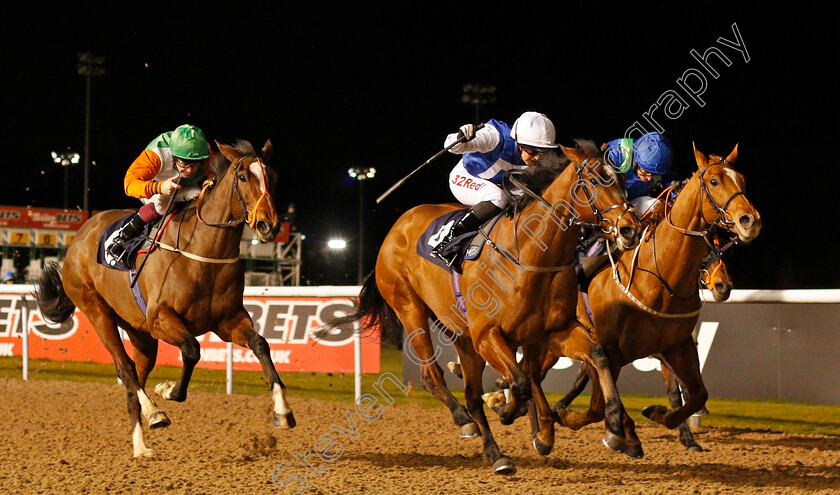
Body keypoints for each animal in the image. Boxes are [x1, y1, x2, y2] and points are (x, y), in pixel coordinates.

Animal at [34, 139, 296, 458]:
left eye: (273, 177)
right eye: (244, 177)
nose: (269, 226)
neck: (203, 252)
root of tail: (79, 236)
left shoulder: (228, 321)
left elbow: (260, 344)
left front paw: (283, 412)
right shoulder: (161, 319)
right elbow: (192, 349)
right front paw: (168, 390)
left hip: (140, 332)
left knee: (134, 380)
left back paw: (140, 446)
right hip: (97, 311)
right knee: (126, 368)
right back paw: (154, 412)